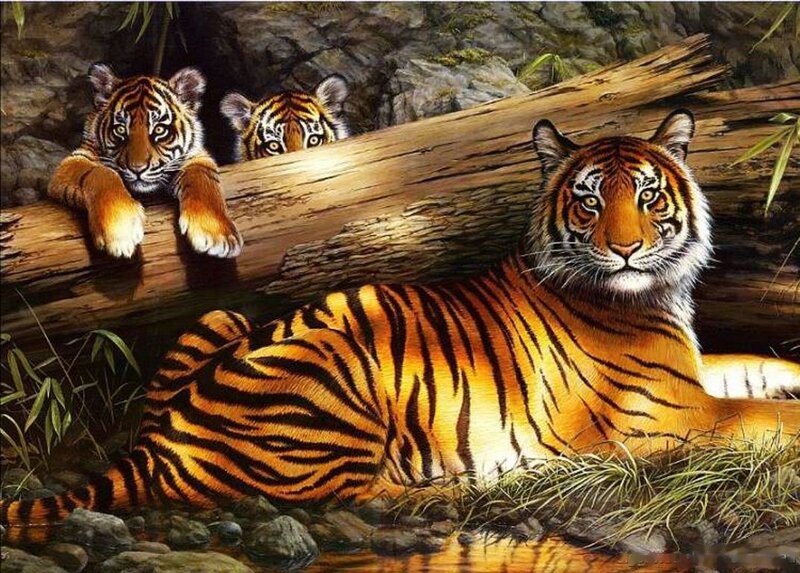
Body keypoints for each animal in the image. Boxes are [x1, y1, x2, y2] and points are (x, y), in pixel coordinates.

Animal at [3, 110, 799, 544]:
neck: (654, 293)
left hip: (222, 316)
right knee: (349, 495)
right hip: (342, 382)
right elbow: (763, 415)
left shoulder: (691, 372)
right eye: (589, 201)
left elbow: (761, 368)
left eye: (647, 195)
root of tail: (160, 443)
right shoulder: (671, 412)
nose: (627, 247)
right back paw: (481, 484)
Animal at [48, 64, 242, 259]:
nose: (137, 169)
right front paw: (121, 229)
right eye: (120, 129)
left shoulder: (196, 157)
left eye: (159, 129)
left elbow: (203, 181)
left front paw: (217, 235)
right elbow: (102, 173)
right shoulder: (76, 159)